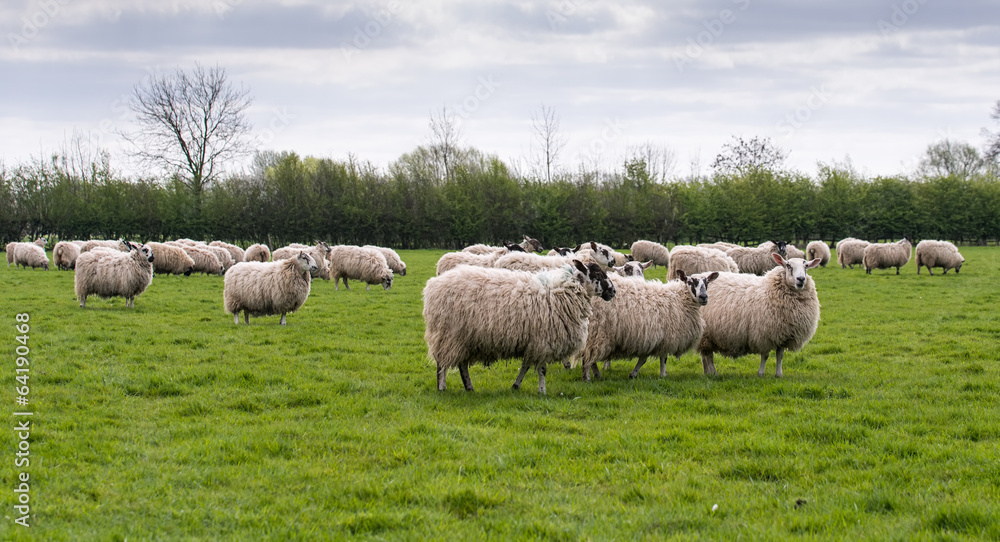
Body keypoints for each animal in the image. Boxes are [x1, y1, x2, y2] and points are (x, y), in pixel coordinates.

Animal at [423, 260, 616, 394]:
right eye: (598, 274)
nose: (613, 292)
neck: (563, 291)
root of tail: (432, 286)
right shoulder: (543, 341)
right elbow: (542, 369)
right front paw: (542, 391)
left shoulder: (532, 342)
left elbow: (526, 366)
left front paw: (516, 385)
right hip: (448, 334)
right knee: (442, 363)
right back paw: (442, 387)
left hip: (464, 338)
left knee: (462, 364)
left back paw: (469, 387)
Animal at [579, 270, 719, 381]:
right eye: (690, 282)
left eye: (707, 282)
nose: (703, 297)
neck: (679, 298)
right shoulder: (665, 337)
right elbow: (663, 358)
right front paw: (663, 375)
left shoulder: (652, 338)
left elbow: (643, 359)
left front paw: (633, 374)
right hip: (596, 331)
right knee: (587, 357)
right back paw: (587, 378)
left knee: (590, 357)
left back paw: (598, 376)